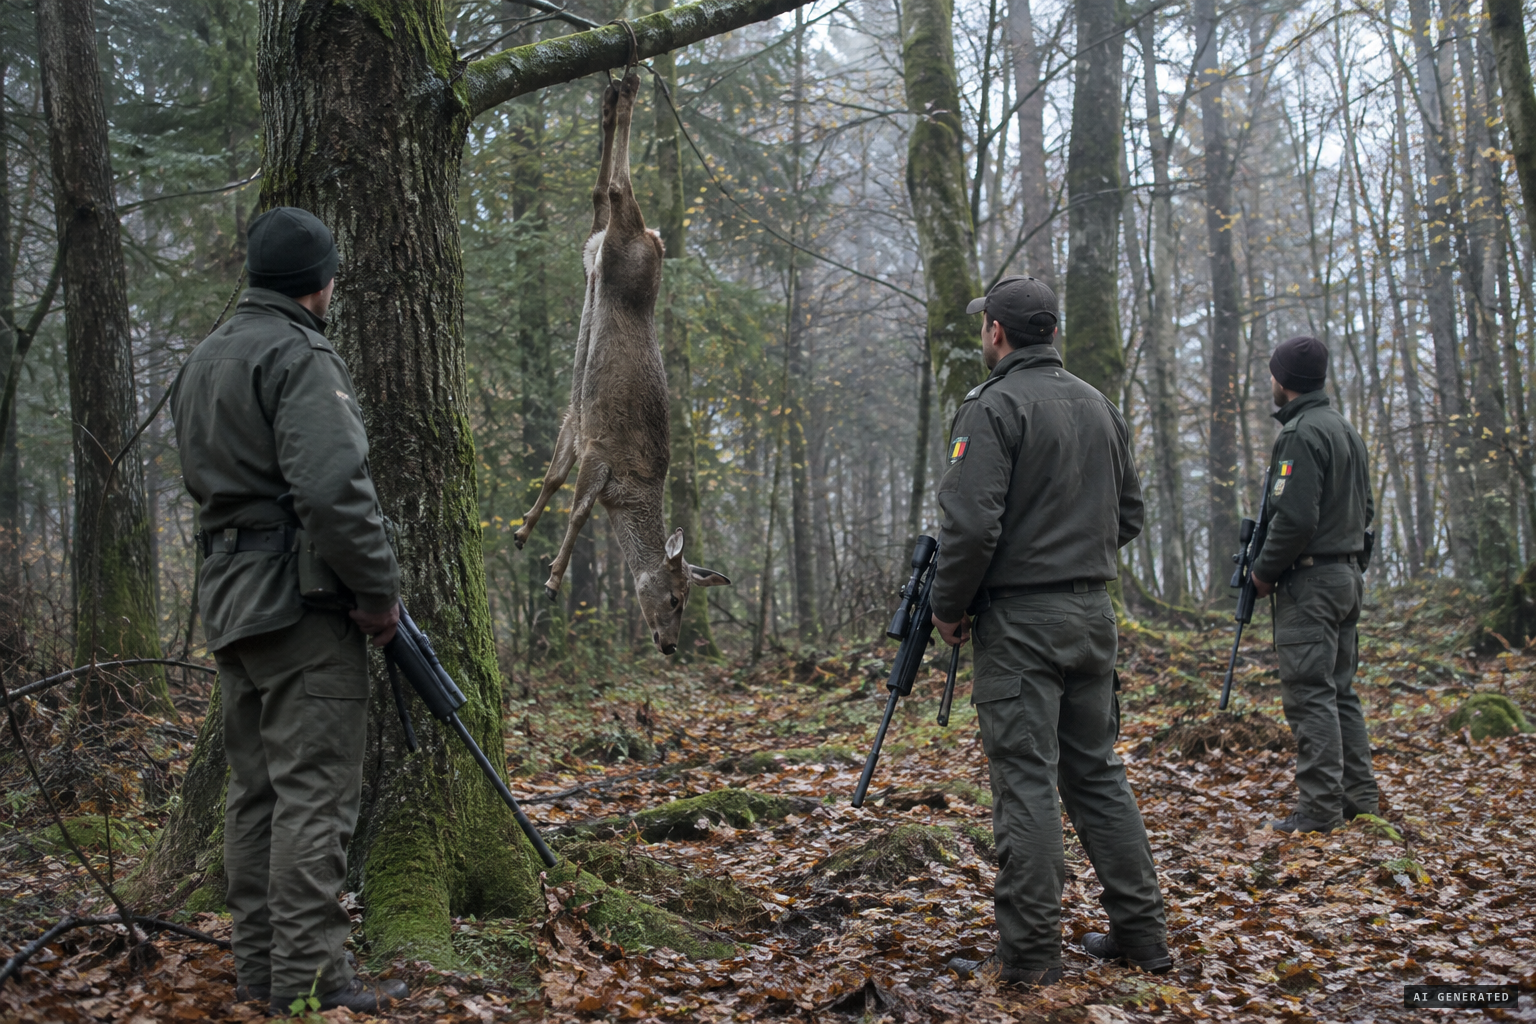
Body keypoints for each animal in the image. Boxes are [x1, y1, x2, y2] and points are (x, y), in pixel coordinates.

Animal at [513, 71, 730, 655]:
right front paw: (551, 579)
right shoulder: (603, 451)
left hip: (595, 249)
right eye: (676, 598)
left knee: (598, 202)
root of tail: (655, 240)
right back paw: (627, 91)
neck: (630, 492)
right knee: (617, 192)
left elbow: (553, 481)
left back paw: (611, 97)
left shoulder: (576, 423)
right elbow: (578, 509)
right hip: (628, 242)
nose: (670, 645)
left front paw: (522, 531)